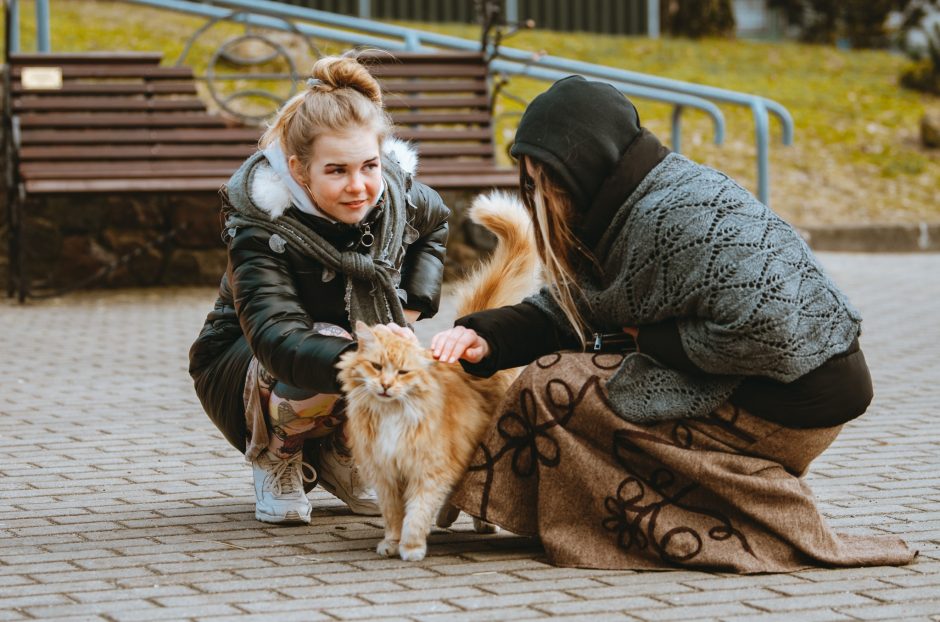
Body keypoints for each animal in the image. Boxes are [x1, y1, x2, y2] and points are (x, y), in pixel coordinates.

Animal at [340, 193, 540, 564]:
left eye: (403, 372)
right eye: (376, 367)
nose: (386, 386)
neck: (393, 416)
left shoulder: (429, 471)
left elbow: (417, 513)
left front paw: (411, 547)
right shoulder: (387, 475)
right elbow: (394, 515)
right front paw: (391, 542)